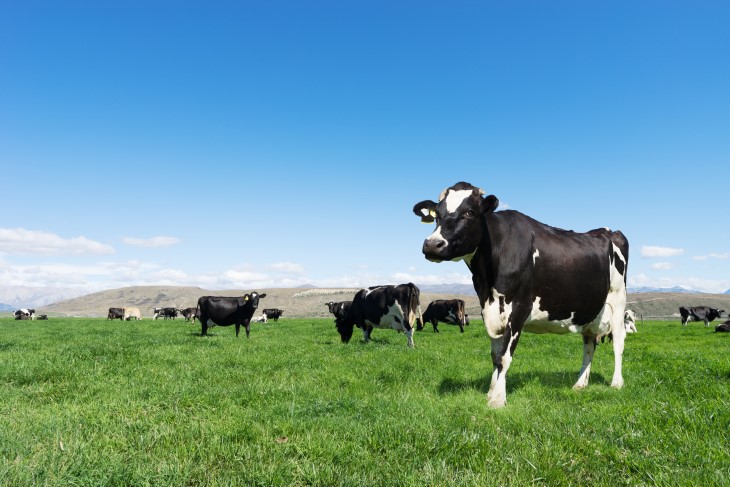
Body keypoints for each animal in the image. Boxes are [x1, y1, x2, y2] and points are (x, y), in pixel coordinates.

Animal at [412, 182, 628, 408]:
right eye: (437, 214)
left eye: (469, 212)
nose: (432, 244)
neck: (488, 279)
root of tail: (607, 231)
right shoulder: (488, 309)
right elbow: (495, 355)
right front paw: (492, 391)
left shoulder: (519, 309)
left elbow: (504, 357)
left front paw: (497, 399)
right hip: (590, 309)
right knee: (589, 343)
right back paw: (580, 384)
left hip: (618, 300)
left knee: (618, 340)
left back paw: (616, 383)